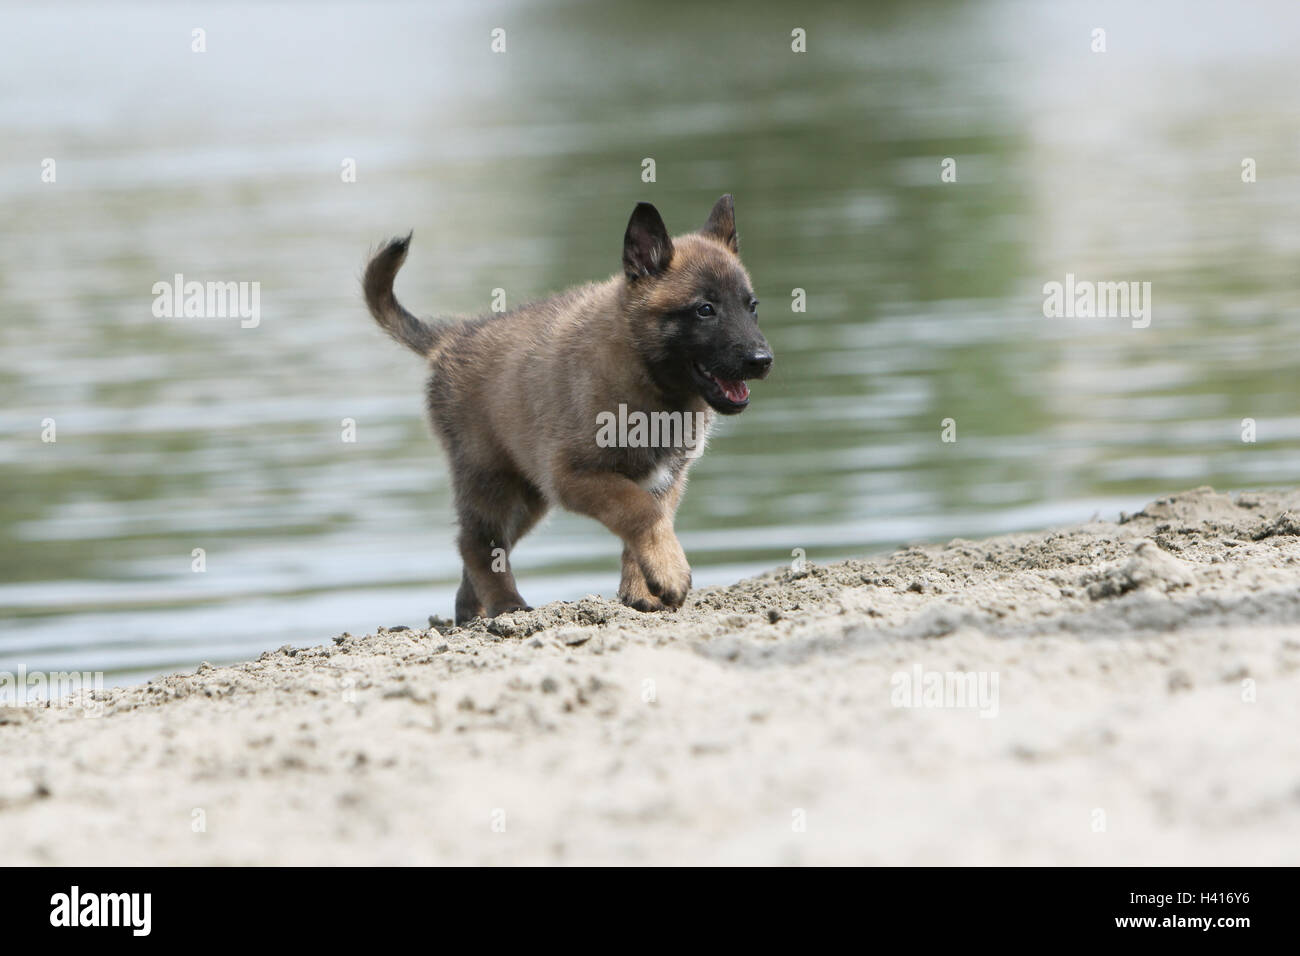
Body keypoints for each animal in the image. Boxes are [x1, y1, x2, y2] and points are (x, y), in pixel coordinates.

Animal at [364, 197, 769, 624]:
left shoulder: (665, 480)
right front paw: (670, 572)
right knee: (477, 542)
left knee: (484, 549)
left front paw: (642, 589)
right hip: (490, 479)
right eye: (705, 310)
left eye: (752, 306)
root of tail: (453, 337)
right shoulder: (572, 475)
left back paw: (473, 613)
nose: (763, 360)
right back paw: (507, 606)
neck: (645, 374)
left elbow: (647, 524)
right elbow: (640, 512)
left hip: (527, 497)